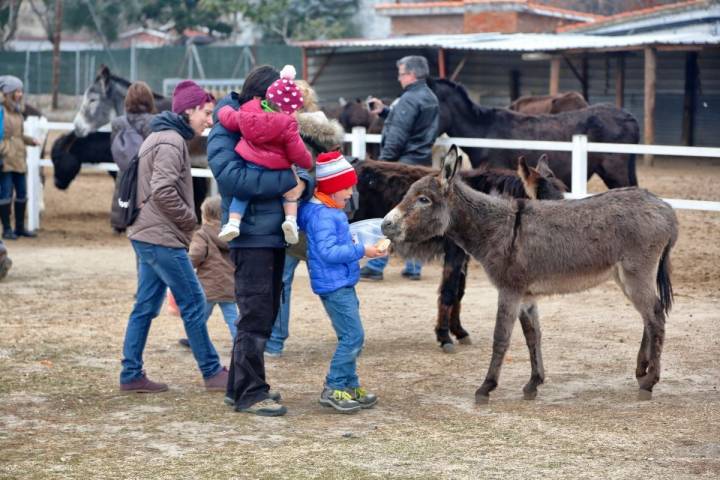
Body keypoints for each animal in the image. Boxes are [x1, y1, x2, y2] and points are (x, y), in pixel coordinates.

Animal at [352, 156, 564, 350]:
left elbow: (459, 292)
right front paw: (444, 336)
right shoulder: (455, 252)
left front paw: (459, 332)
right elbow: (449, 291)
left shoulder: (465, 255)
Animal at [386, 146, 676, 404]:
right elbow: (532, 336)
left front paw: (486, 387)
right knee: (649, 317)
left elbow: (501, 337)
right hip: (624, 276)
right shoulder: (526, 295)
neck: (497, 228)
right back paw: (642, 371)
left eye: (424, 199)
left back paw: (649, 381)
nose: (385, 224)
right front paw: (533, 383)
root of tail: (665, 207)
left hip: (636, 273)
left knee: (655, 316)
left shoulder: (509, 290)